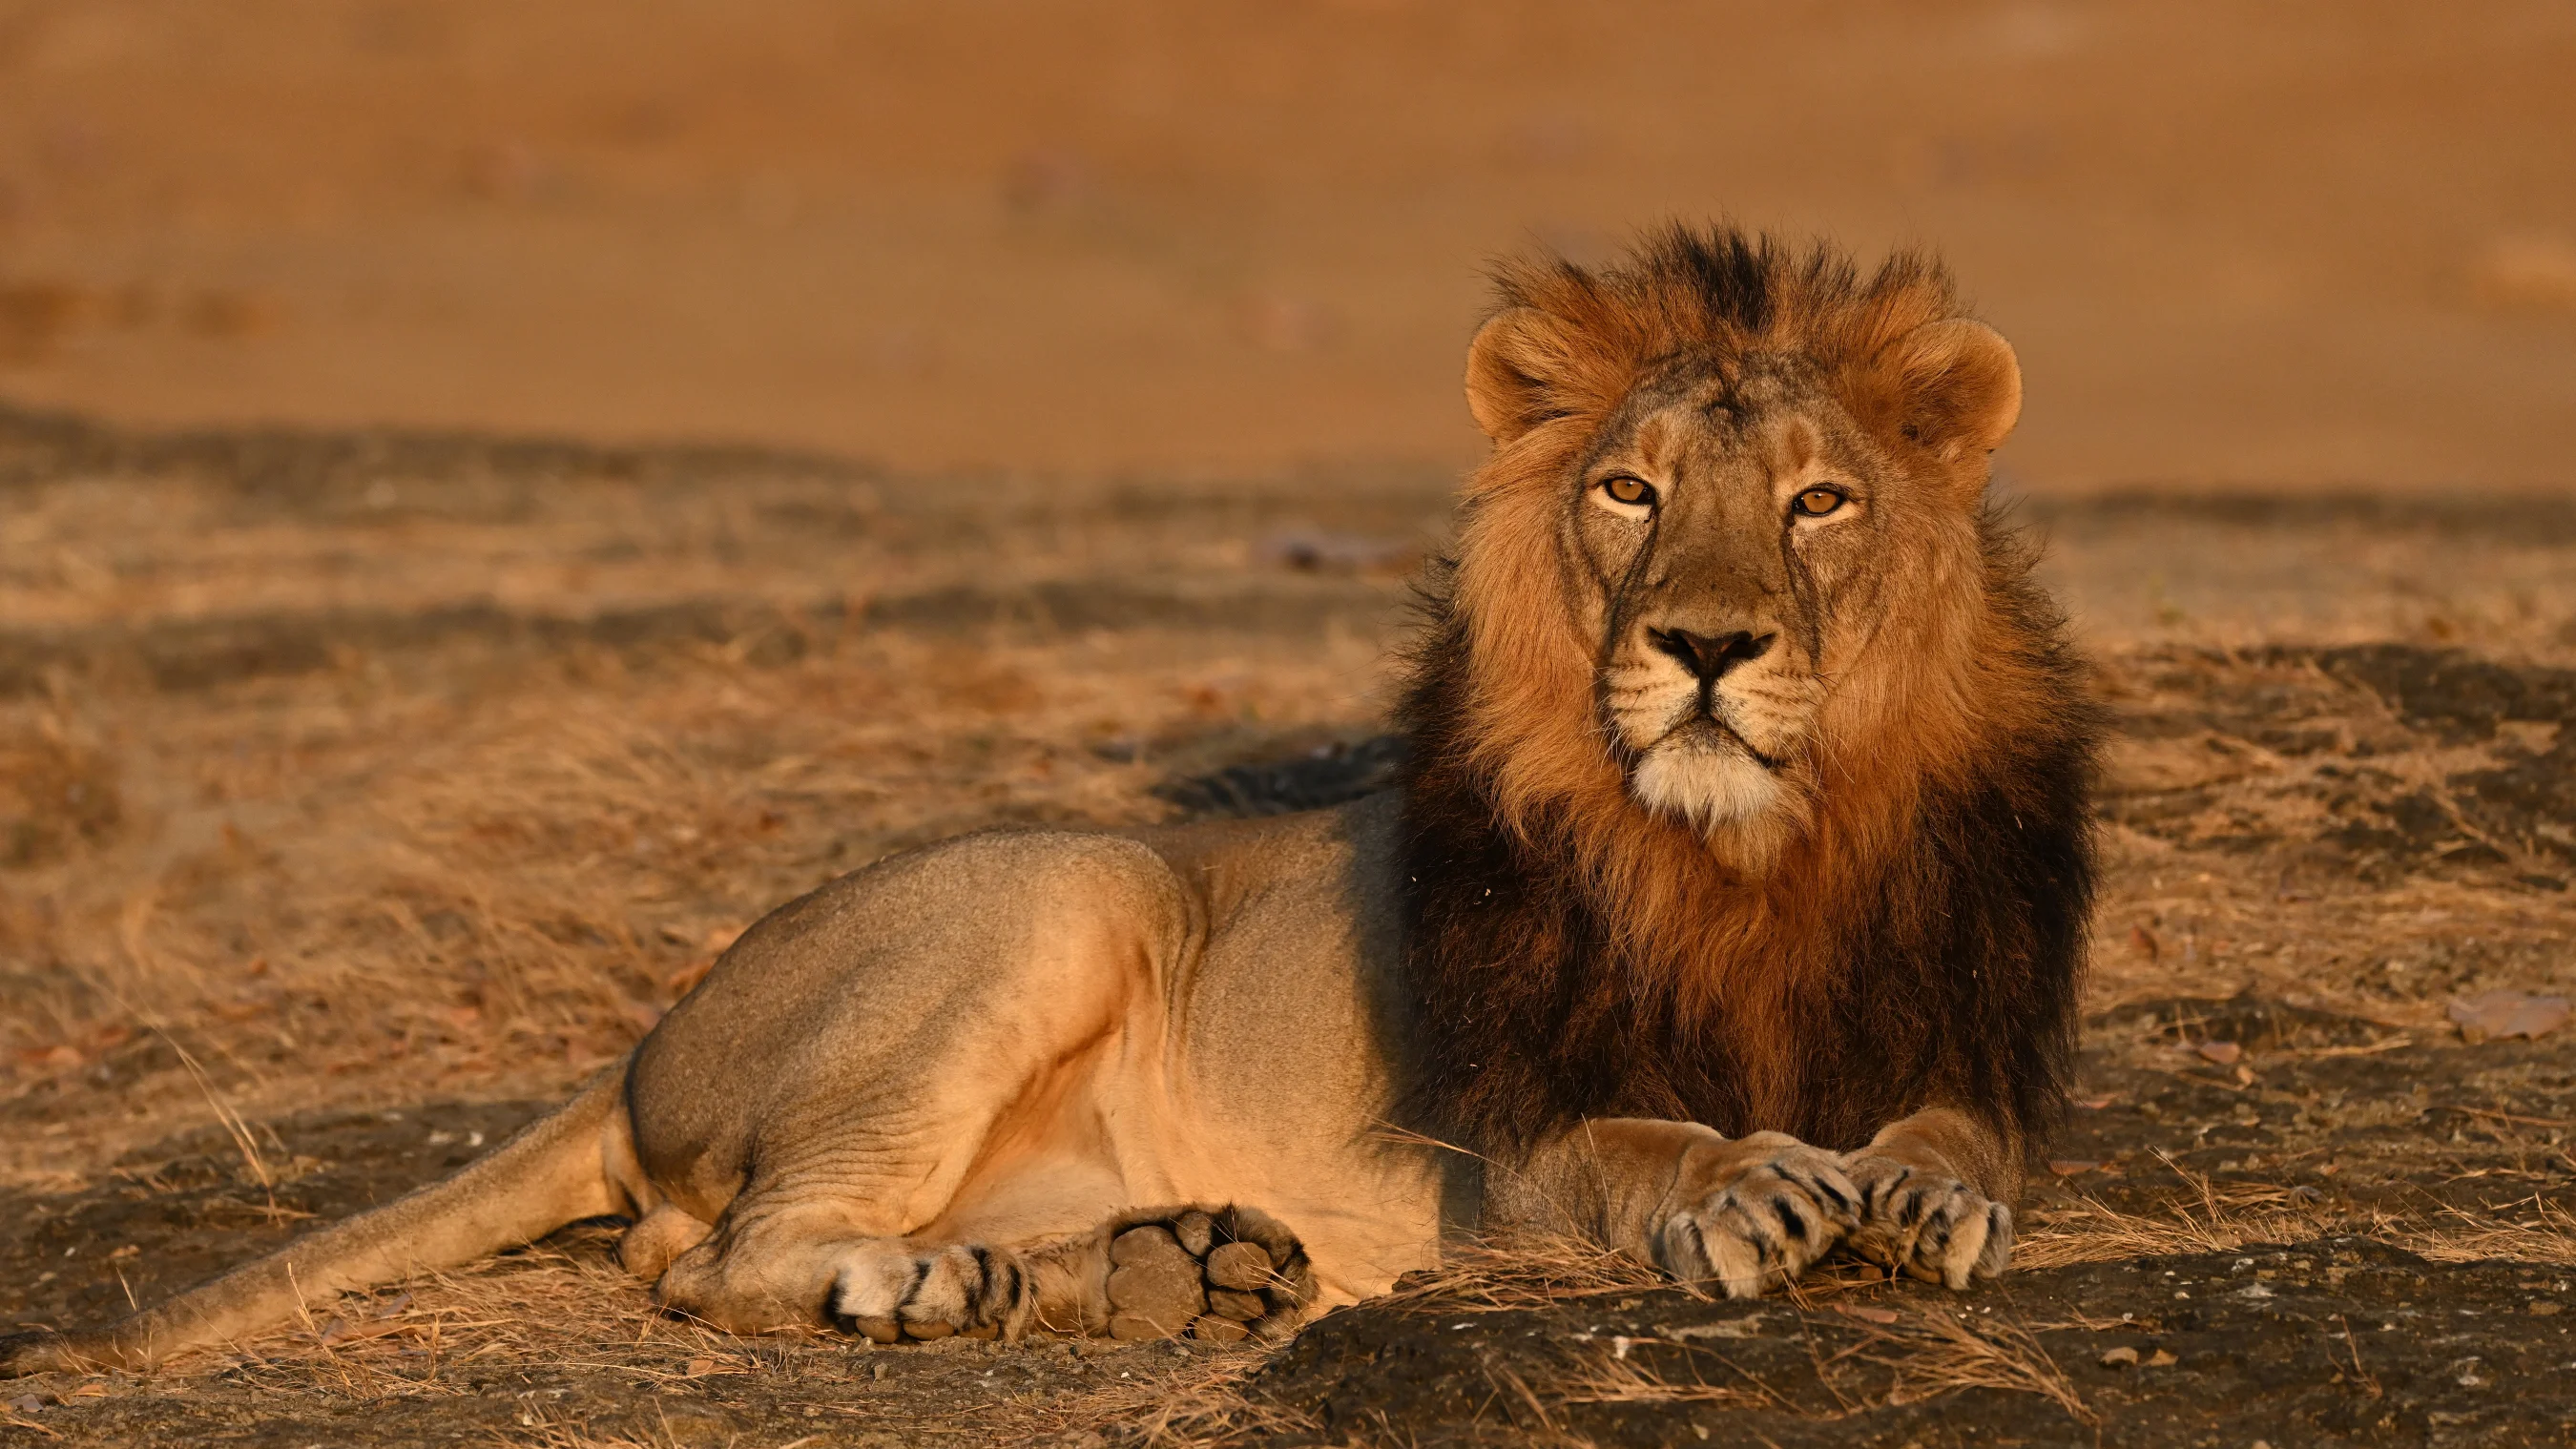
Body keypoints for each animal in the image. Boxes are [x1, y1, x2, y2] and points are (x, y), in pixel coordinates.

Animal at [2, 225, 2099, 1376]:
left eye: (1819, 500)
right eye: (1630, 491)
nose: (1707, 646)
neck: (1750, 849)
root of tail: (641, 1046)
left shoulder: (1964, 1028)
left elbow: (1960, 1138)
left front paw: (1917, 1190)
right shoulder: (1502, 1141)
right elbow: (1640, 1145)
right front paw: (1753, 1185)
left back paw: (1164, 1277)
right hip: (1063, 885)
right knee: (704, 1257)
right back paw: (932, 1290)